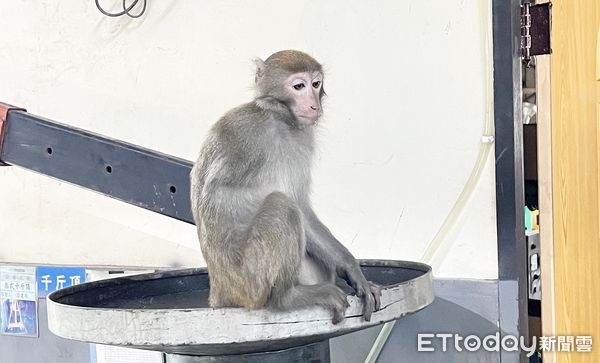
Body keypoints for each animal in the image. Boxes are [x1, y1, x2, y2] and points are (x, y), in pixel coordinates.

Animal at [191, 49, 380, 324]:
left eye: (316, 84)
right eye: (298, 86)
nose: (314, 105)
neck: (280, 119)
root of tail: (219, 290)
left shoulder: (301, 140)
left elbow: (302, 208)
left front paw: (352, 269)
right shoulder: (247, 133)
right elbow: (216, 191)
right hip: (249, 280)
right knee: (281, 204)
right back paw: (285, 298)